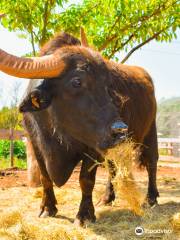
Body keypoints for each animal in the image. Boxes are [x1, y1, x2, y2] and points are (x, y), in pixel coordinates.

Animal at [0, 31, 158, 225]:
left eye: (108, 84)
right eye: (77, 81)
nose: (120, 130)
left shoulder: (93, 145)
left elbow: (86, 179)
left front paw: (84, 215)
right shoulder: (36, 144)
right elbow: (45, 177)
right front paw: (47, 208)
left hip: (150, 131)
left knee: (152, 162)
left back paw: (151, 198)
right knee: (113, 168)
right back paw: (107, 198)